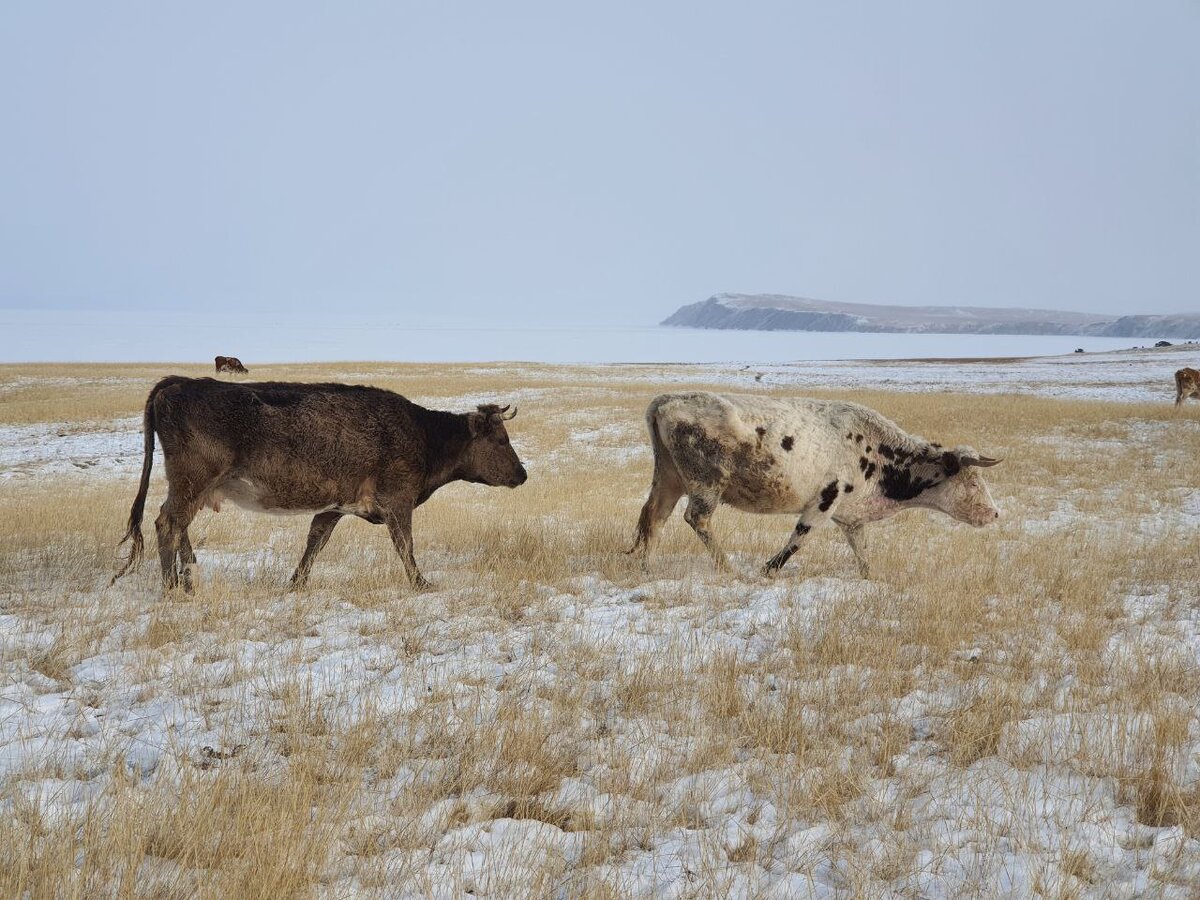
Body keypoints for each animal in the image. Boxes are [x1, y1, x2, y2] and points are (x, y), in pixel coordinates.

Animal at [113, 374, 525, 592]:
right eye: (501, 440)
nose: (522, 474)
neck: (423, 435)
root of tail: (178, 383)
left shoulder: (335, 506)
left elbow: (315, 541)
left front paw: (296, 583)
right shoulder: (398, 501)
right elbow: (405, 545)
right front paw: (421, 583)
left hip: (192, 488)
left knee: (178, 525)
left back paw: (189, 578)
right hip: (192, 481)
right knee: (167, 523)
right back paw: (171, 587)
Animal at [628, 393, 1003, 578]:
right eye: (972, 479)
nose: (995, 513)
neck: (877, 452)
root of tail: (666, 402)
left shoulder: (851, 518)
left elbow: (862, 551)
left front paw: (871, 576)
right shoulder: (824, 501)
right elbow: (799, 538)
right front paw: (767, 569)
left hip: (669, 478)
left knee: (654, 516)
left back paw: (646, 567)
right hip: (706, 484)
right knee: (697, 519)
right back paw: (726, 566)